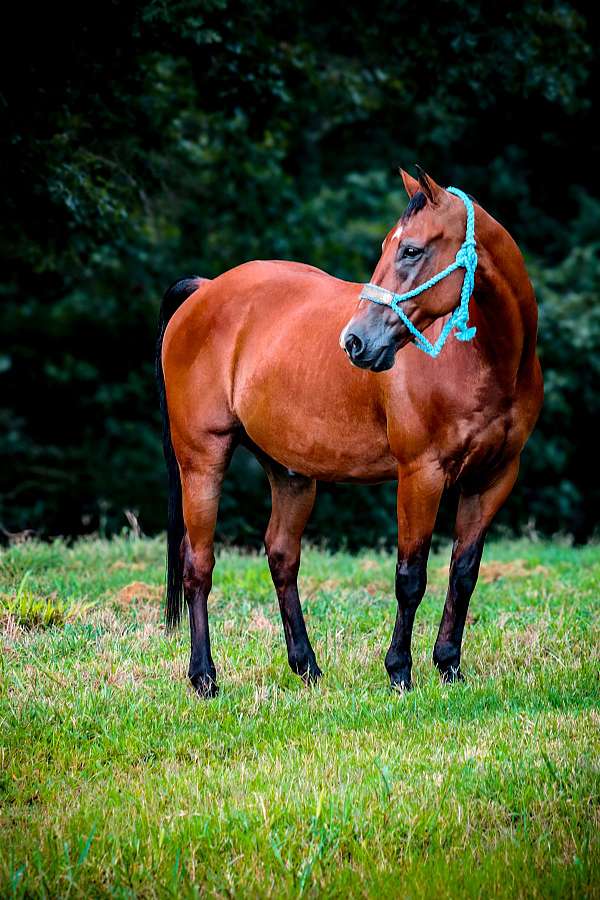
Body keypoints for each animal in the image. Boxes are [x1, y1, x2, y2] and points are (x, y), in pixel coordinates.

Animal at [156, 167, 543, 697]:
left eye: (411, 250)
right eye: (388, 246)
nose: (356, 341)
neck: (486, 362)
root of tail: (204, 289)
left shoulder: (493, 478)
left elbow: (463, 574)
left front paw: (449, 667)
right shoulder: (421, 475)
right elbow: (411, 576)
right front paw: (400, 671)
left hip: (290, 472)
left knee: (282, 556)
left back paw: (306, 666)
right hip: (201, 458)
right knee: (198, 565)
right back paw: (204, 677)